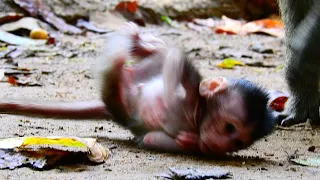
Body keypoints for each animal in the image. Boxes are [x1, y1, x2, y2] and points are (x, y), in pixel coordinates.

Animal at [0, 22, 276, 155]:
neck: (198, 114)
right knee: (157, 56)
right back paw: (136, 43)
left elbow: (153, 139)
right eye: (228, 127)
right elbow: (178, 60)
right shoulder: (192, 96)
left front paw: (190, 140)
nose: (220, 147)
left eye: (237, 143)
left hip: (115, 95)